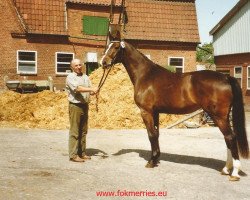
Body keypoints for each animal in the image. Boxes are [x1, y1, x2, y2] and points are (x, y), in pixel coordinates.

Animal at [99, 39, 248, 180]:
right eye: (108, 46)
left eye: (116, 47)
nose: (103, 62)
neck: (145, 75)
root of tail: (226, 77)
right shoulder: (155, 112)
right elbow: (156, 134)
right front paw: (156, 158)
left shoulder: (146, 112)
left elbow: (151, 135)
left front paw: (151, 162)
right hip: (223, 116)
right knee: (228, 139)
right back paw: (226, 169)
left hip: (218, 116)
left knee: (230, 138)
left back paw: (234, 172)